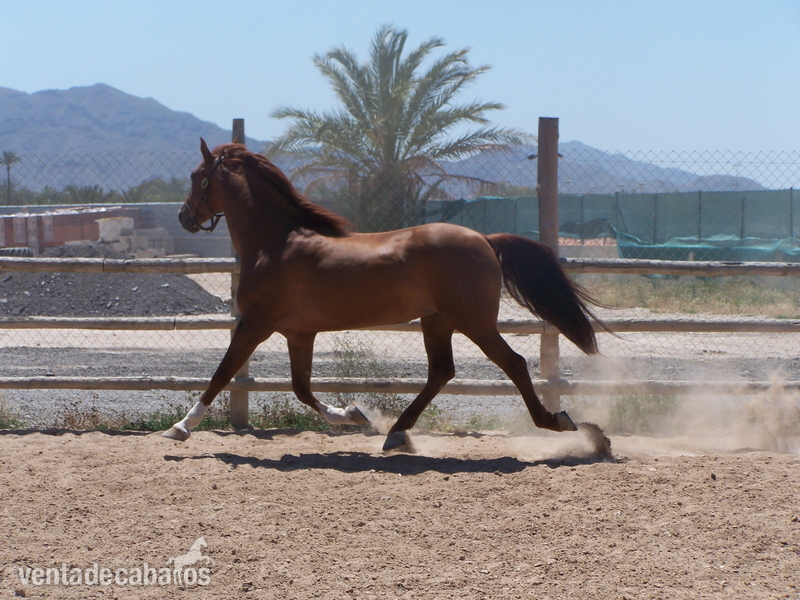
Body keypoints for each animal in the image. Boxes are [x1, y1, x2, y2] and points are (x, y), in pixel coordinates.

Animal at [163, 139, 604, 451]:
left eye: (196, 175)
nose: (183, 217)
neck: (277, 242)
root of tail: (484, 238)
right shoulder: (298, 333)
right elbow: (302, 388)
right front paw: (355, 414)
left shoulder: (255, 323)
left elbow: (222, 374)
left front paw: (180, 427)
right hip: (436, 320)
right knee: (441, 372)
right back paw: (396, 433)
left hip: (473, 322)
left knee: (512, 363)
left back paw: (562, 423)